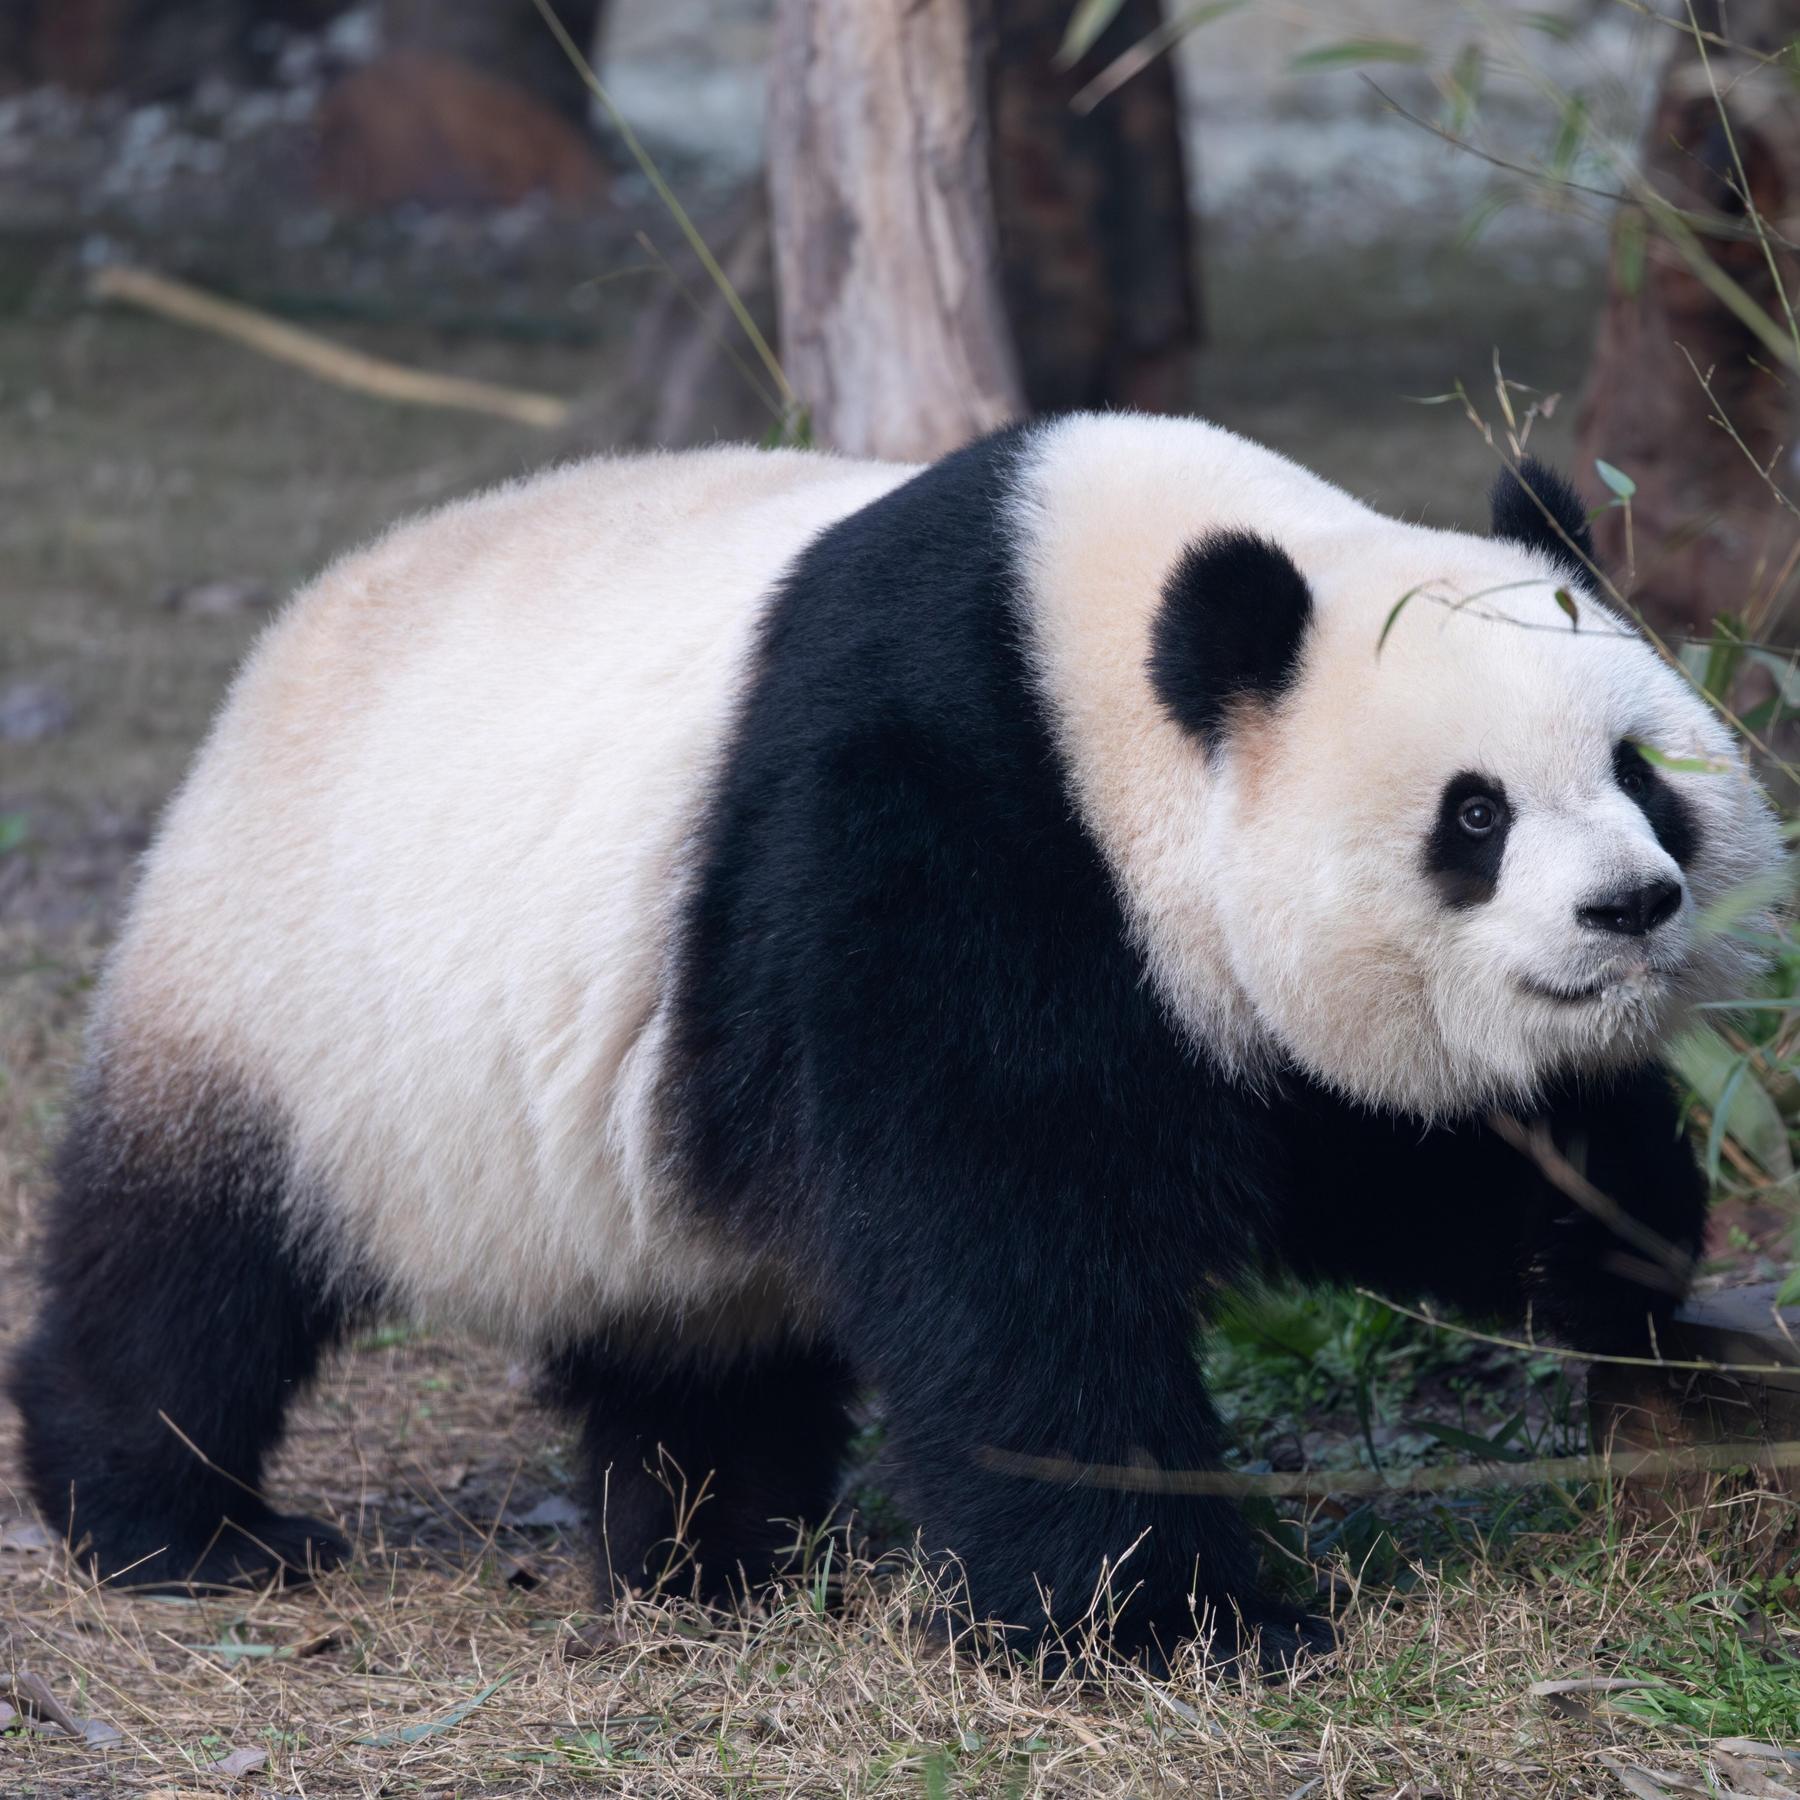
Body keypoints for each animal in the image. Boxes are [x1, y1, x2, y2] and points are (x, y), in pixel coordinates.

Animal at [9, 413, 1784, 1671]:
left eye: (1641, 770)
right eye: (1473, 816)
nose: (1631, 906)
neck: (1100, 660)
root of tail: (278, 649)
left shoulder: (1207, 990)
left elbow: (1373, 1143)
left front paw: (1620, 1234)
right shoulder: (936, 819)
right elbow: (1011, 1240)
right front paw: (1173, 1622)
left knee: (696, 1330)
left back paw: (706, 1556)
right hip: (290, 999)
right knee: (194, 1270)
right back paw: (177, 1527)